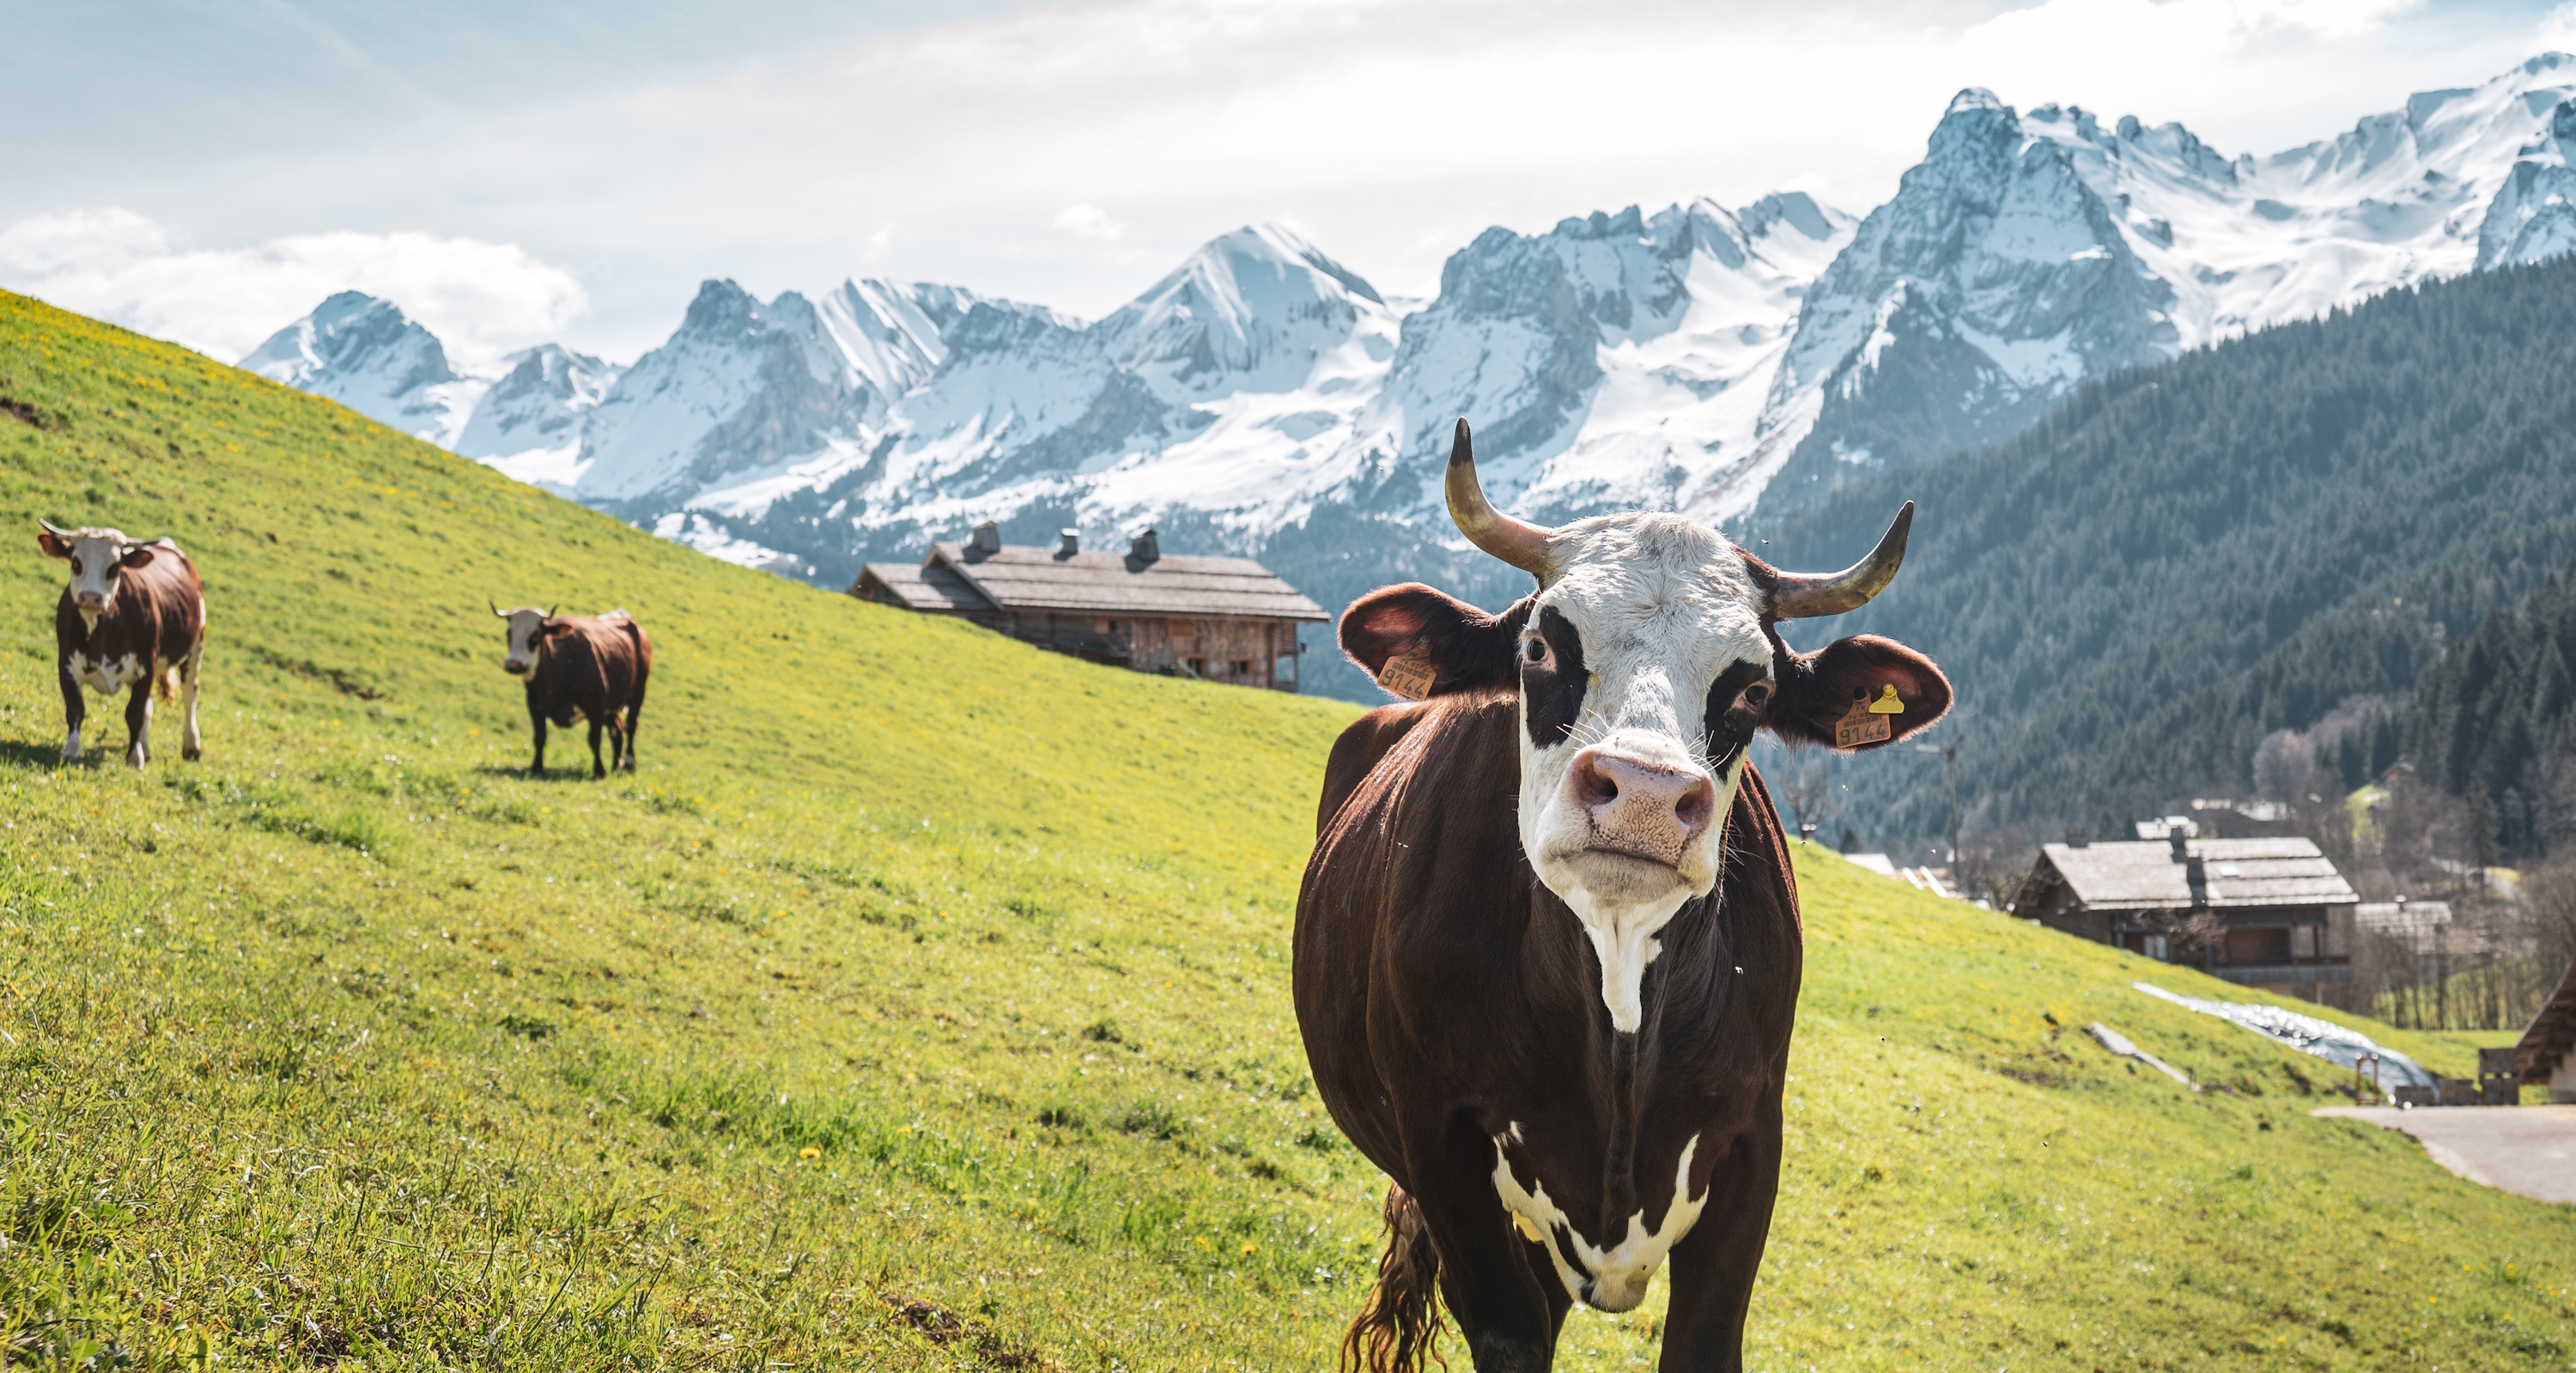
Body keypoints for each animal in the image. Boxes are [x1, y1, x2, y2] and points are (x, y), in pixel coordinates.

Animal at [39, 520, 207, 768]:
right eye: (76, 562)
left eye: (115, 567)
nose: (91, 598)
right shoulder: (66, 664)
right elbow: (75, 708)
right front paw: (71, 751)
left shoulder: (146, 667)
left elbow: (134, 713)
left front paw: (134, 758)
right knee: (150, 705)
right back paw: (145, 747)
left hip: (195, 645)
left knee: (189, 694)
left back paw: (191, 746)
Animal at [490, 603, 651, 778]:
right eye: (509, 633)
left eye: (536, 635)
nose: (513, 664)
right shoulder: (534, 704)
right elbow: (540, 736)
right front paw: (537, 768)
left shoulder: (596, 705)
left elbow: (594, 739)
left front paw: (599, 771)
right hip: (611, 706)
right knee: (617, 729)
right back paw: (616, 765)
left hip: (638, 693)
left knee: (631, 725)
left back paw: (629, 764)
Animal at [1295, 421, 1950, 1373]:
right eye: (1539, 647)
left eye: (1753, 687)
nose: (1643, 793)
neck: (1617, 993)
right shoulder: (1440, 1142)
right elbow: (1511, 1331)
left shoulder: (1753, 1144)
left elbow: (1702, 1342)